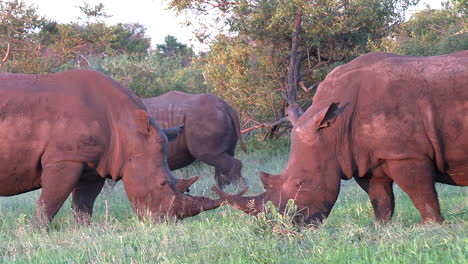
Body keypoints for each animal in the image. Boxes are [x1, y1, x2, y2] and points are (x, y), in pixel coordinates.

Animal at [0, 69, 223, 226]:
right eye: (162, 184)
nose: (167, 220)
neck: (128, 128)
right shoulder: (65, 158)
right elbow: (49, 202)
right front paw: (38, 231)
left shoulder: (93, 163)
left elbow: (84, 203)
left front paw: (85, 230)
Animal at [215, 51, 468, 225]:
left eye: (299, 184)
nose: (287, 228)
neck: (331, 132)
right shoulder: (364, 158)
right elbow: (380, 197)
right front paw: (379, 227)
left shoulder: (405, 154)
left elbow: (422, 194)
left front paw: (432, 226)